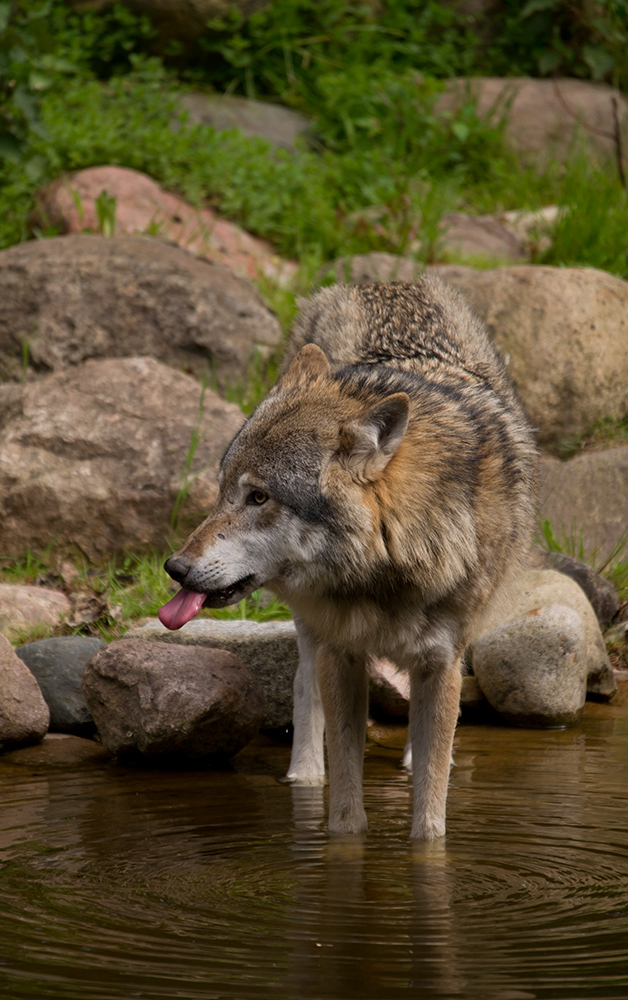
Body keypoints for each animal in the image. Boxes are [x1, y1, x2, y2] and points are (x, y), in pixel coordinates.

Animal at [159, 278, 536, 840]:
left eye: (258, 497)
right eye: (224, 491)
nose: (175, 569)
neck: (386, 573)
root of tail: (384, 281)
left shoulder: (440, 663)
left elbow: (430, 815)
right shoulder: (341, 655)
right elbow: (344, 815)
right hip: (311, 629)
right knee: (302, 683)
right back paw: (304, 773)